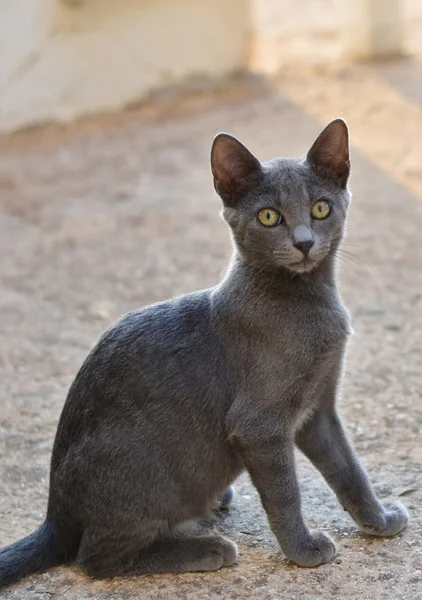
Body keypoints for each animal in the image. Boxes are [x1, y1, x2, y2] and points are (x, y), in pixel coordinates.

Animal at [0, 118, 408, 584]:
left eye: (321, 208)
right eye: (269, 216)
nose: (304, 242)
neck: (307, 300)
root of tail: (55, 515)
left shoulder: (318, 409)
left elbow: (348, 469)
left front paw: (379, 521)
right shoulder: (259, 425)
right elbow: (285, 493)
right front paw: (304, 550)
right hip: (146, 465)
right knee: (95, 560)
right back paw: (209, 548)